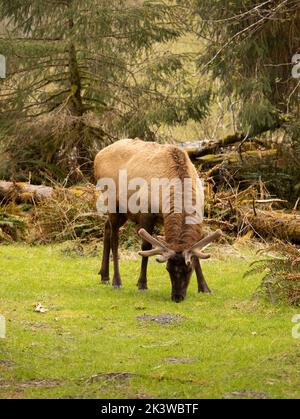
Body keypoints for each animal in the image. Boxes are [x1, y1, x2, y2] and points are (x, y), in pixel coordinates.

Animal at [94, 139, 223, 304]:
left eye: (189, 269)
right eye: (168, 269)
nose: (177, 297)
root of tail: (98, 155)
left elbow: (197, 251)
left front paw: (204, 287)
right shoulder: (146, 213)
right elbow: (146, 246)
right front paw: (142, 284)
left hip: (123, 212)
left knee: (106, 227)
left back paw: (104, 275)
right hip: (112, 202)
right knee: (115, 237)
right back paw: (116, 281)